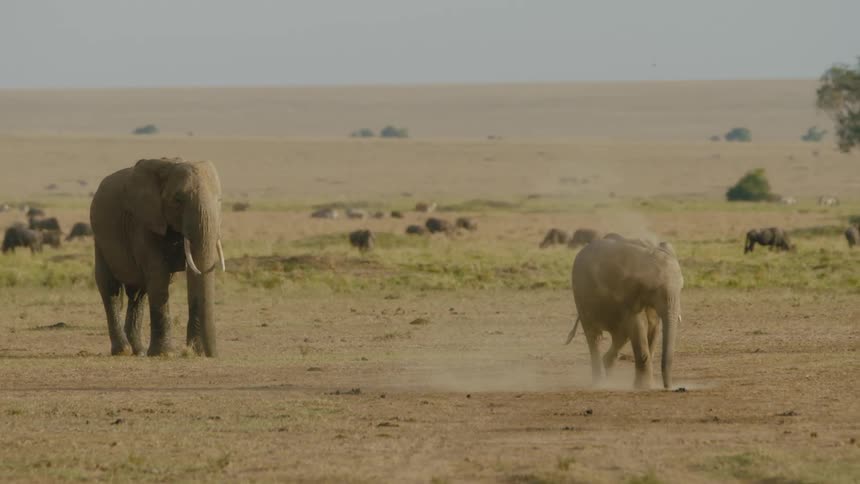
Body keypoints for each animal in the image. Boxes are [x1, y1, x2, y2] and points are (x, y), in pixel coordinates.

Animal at [90, 158, 225, 357]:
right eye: (178, 200)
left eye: (219, 200)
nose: (211, 355)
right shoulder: (143, 222)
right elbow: (159, 275)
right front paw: (164, 353)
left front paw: (193, 351)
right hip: (99, 239)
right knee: (109, 287)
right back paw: (123, 351)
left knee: (138, 294)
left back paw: (138, 351)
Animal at [569, 237, 684, 389]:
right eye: (654, 290)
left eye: (681, 287)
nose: (669, 387)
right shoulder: (626, 294)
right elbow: (637, 325)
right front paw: (644, 387)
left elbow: (653, 325)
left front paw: (649, 386)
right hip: (581, 296)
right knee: (593, 336)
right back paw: (600, 383)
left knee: (620, 335)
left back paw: (608, 374)